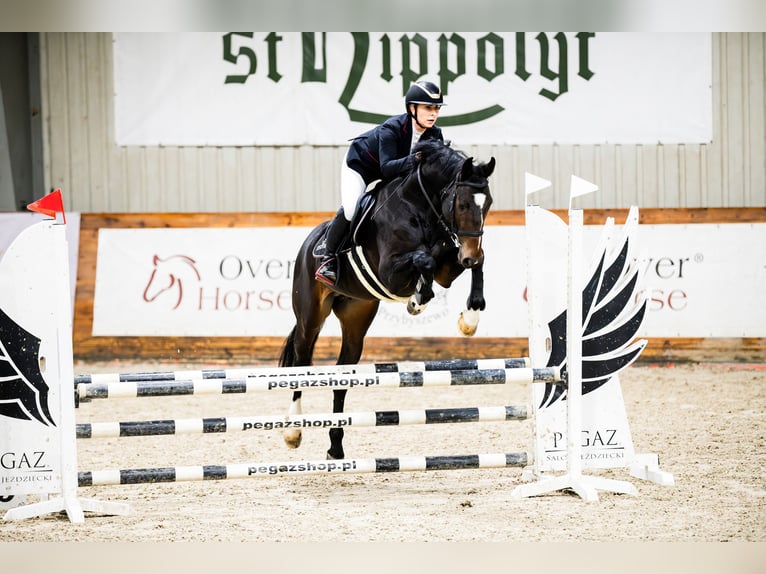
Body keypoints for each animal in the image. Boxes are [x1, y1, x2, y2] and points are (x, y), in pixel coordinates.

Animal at [278, 139, 496, 459]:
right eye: (463, 204)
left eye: (488, 203)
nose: (468, 252)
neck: (421, 206)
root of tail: (308, 243)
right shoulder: (390, 271)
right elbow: (424, 259)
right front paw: (418, 300)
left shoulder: (449, 264)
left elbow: (472, 263)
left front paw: (469, 320)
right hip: (310, 315)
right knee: (301, 363)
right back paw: (293, 432)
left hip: (356, 319)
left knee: (342, 378)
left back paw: (335, 448)